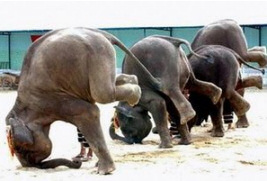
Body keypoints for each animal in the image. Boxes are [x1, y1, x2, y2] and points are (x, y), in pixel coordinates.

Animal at [4, 27, 157, 175]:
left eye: (22, 149)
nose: (77, 161)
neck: (22, 107)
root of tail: (101, 33)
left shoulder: (50, 101)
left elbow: (90, 112)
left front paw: (104, 171)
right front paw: (97, 166)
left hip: (98, 53)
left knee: (103, 93)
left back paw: (135, 95)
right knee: (108, 86)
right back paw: (133, 83)